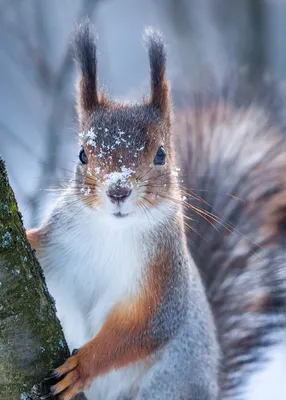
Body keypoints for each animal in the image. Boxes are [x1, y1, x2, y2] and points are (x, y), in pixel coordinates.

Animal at [26, 21, 219, 400]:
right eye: (82, 154)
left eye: (161, 154)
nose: (118, 190)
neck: (112, 232)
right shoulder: (56, 244)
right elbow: (37, 245)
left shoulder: (164, 284)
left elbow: (136, 334)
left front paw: (80, 368)